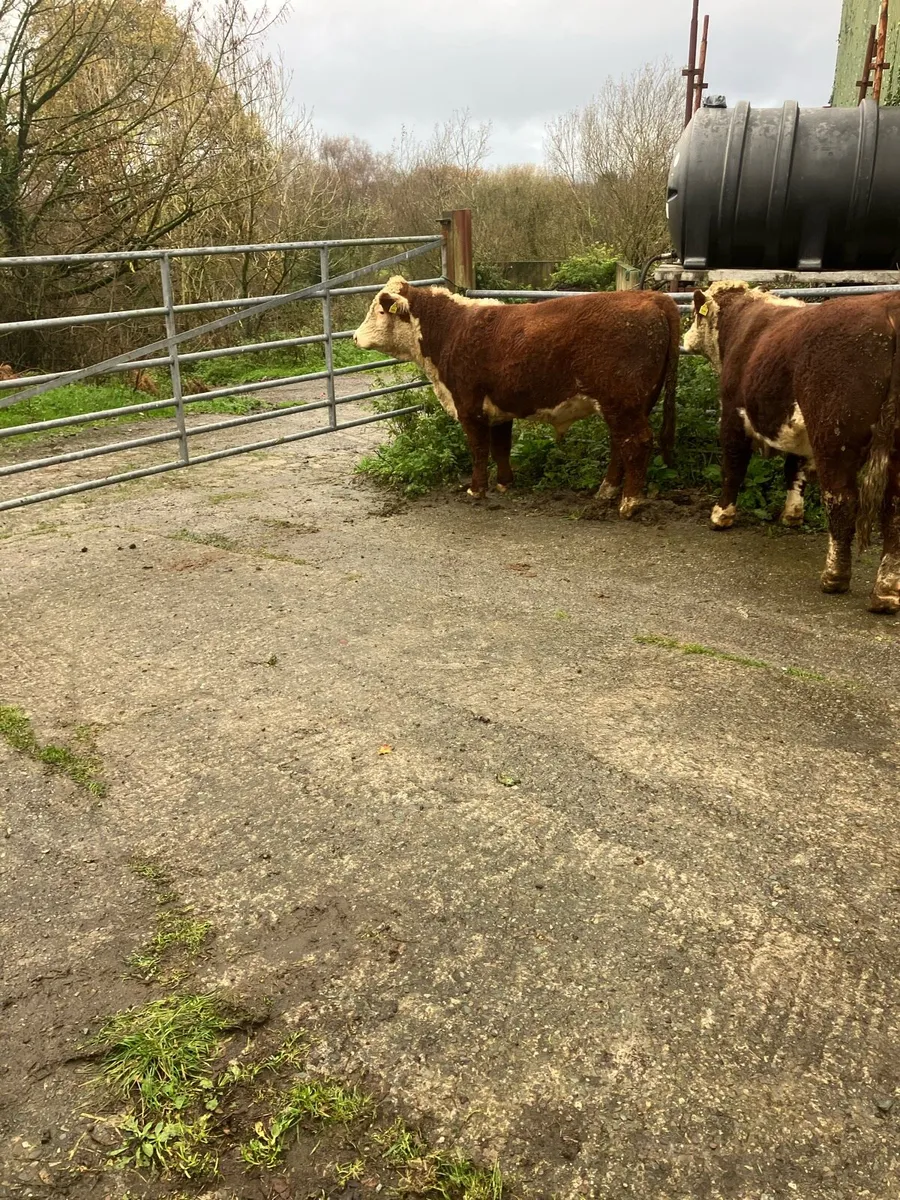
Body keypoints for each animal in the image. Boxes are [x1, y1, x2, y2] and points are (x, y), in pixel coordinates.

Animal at [353, 276, 681, 517]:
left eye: (379, 310)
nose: (354, 337)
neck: (451, 329)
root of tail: (652, 297)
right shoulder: (499, 409)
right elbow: (501, 447)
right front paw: (504, 483)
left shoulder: (469, 406)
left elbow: (479, 449)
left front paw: (476, 489)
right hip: (633, 404)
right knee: (620, 445)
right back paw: (607, 491)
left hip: (622, 403)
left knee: (637, 443)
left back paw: (629, 503)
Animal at [683, 281, 900, 613]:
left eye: (696, 314)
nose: (684, 339)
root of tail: (888, 306)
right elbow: (794, 469)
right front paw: (793, 514)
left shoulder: (732, 414)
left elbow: (733, 466)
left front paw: (721, 515)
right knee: (894, 508)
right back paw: (887, 592)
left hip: (834, 435)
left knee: (842, 500)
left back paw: (834, 577)